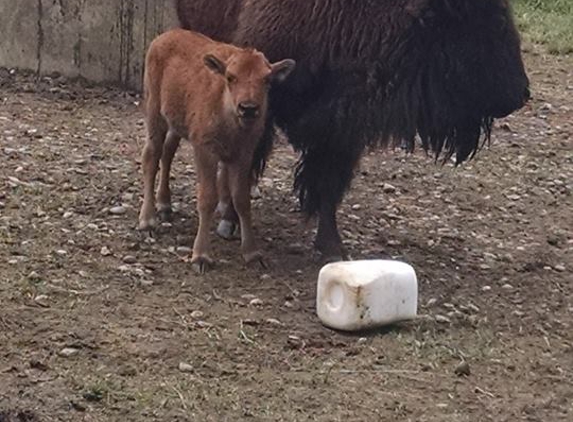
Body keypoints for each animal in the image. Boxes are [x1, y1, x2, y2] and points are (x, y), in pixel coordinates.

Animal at [139, 30, 294, 274]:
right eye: (230, 77)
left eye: (267, 80)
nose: (248, 108)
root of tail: (164, 36)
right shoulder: (205, 152)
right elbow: (208, 198)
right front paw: (201, 256)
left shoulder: (243, 156)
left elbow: (241, 199)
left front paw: (252, 253)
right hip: (155, 114)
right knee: (151, 157)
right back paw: (148, 221)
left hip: (176, 124)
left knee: (168, 152)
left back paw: (165, 205)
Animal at [173, 0, 528, 260]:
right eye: (489, 26)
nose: (520, 94)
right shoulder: (260, 108)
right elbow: (244, 173)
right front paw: (229, 223)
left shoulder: (342, 127)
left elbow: (328, 186)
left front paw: (333, 248)